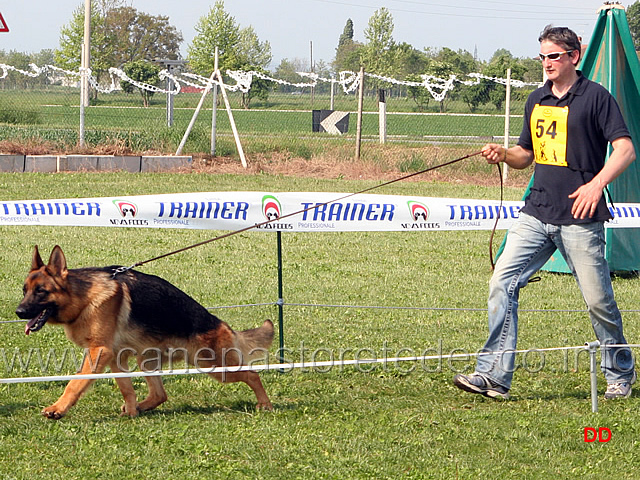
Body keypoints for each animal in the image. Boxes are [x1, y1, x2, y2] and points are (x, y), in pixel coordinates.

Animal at [15, 246, 272, 418]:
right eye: (25, 290)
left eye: (41, 291)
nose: (19, 312)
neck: (83, 298)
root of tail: (222, 324)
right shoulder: (114, 357)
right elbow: (126, 388)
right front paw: (131, 413)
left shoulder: (99, 352)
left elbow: (75, 382)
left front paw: (57, 409)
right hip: (147, 361)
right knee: (160, 394)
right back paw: (141, 407)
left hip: (215, 366)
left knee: (253, 375)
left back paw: (265, 404)